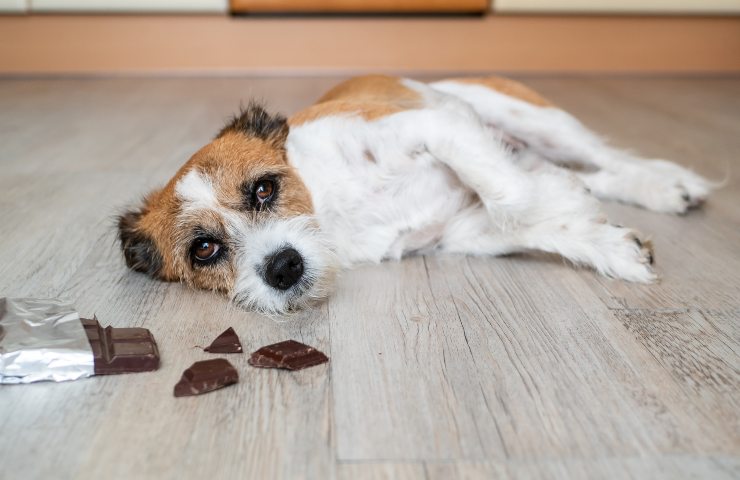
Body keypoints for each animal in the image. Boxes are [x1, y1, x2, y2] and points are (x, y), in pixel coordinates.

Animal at [118, 74, 712, 316]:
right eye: (204, 249)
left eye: (264, 189)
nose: (283, 267)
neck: (332, 206)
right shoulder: (461, 232)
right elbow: (523, 220)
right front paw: (608, 244)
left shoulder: (436, 125)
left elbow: (511, 194)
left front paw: (562, 201)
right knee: (593, 171)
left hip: (534, 119)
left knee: (606, 158)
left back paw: (669, 184)